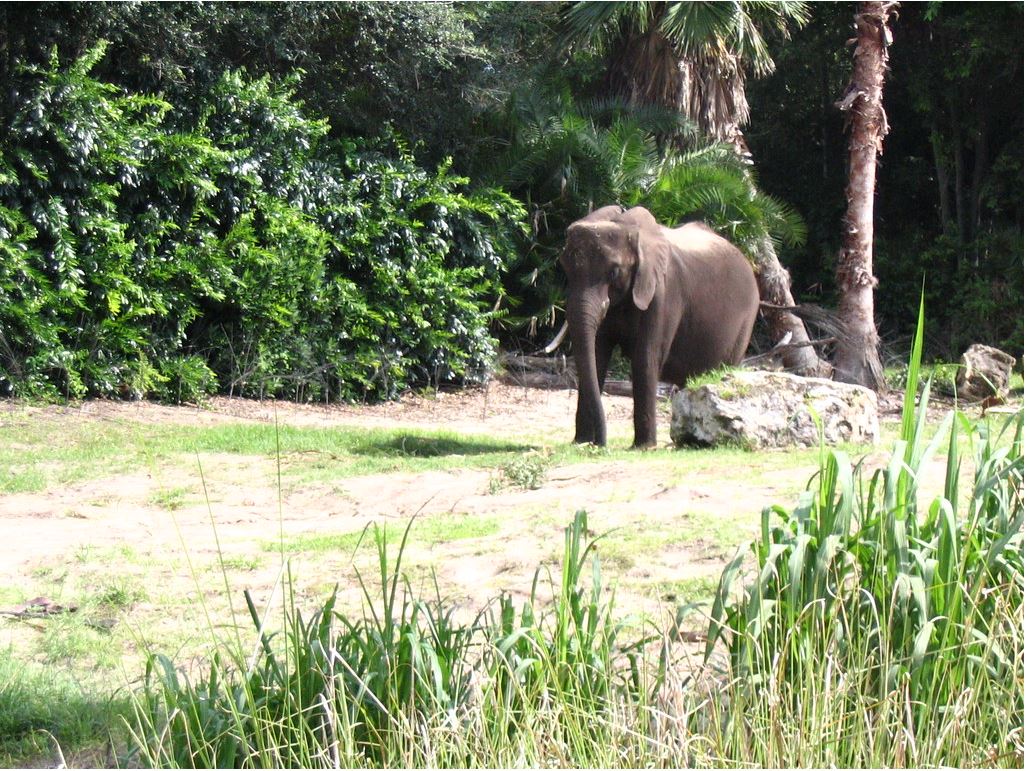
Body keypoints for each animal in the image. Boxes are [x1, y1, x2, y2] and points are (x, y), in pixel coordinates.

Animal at [559, 205, 759, 448]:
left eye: (614, 272)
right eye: (565, 269)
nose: (600, 444)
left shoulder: (663, 293)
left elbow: (645, 358)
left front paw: (643, 448)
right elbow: (597, 357)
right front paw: (580, 442)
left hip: (745, 321)